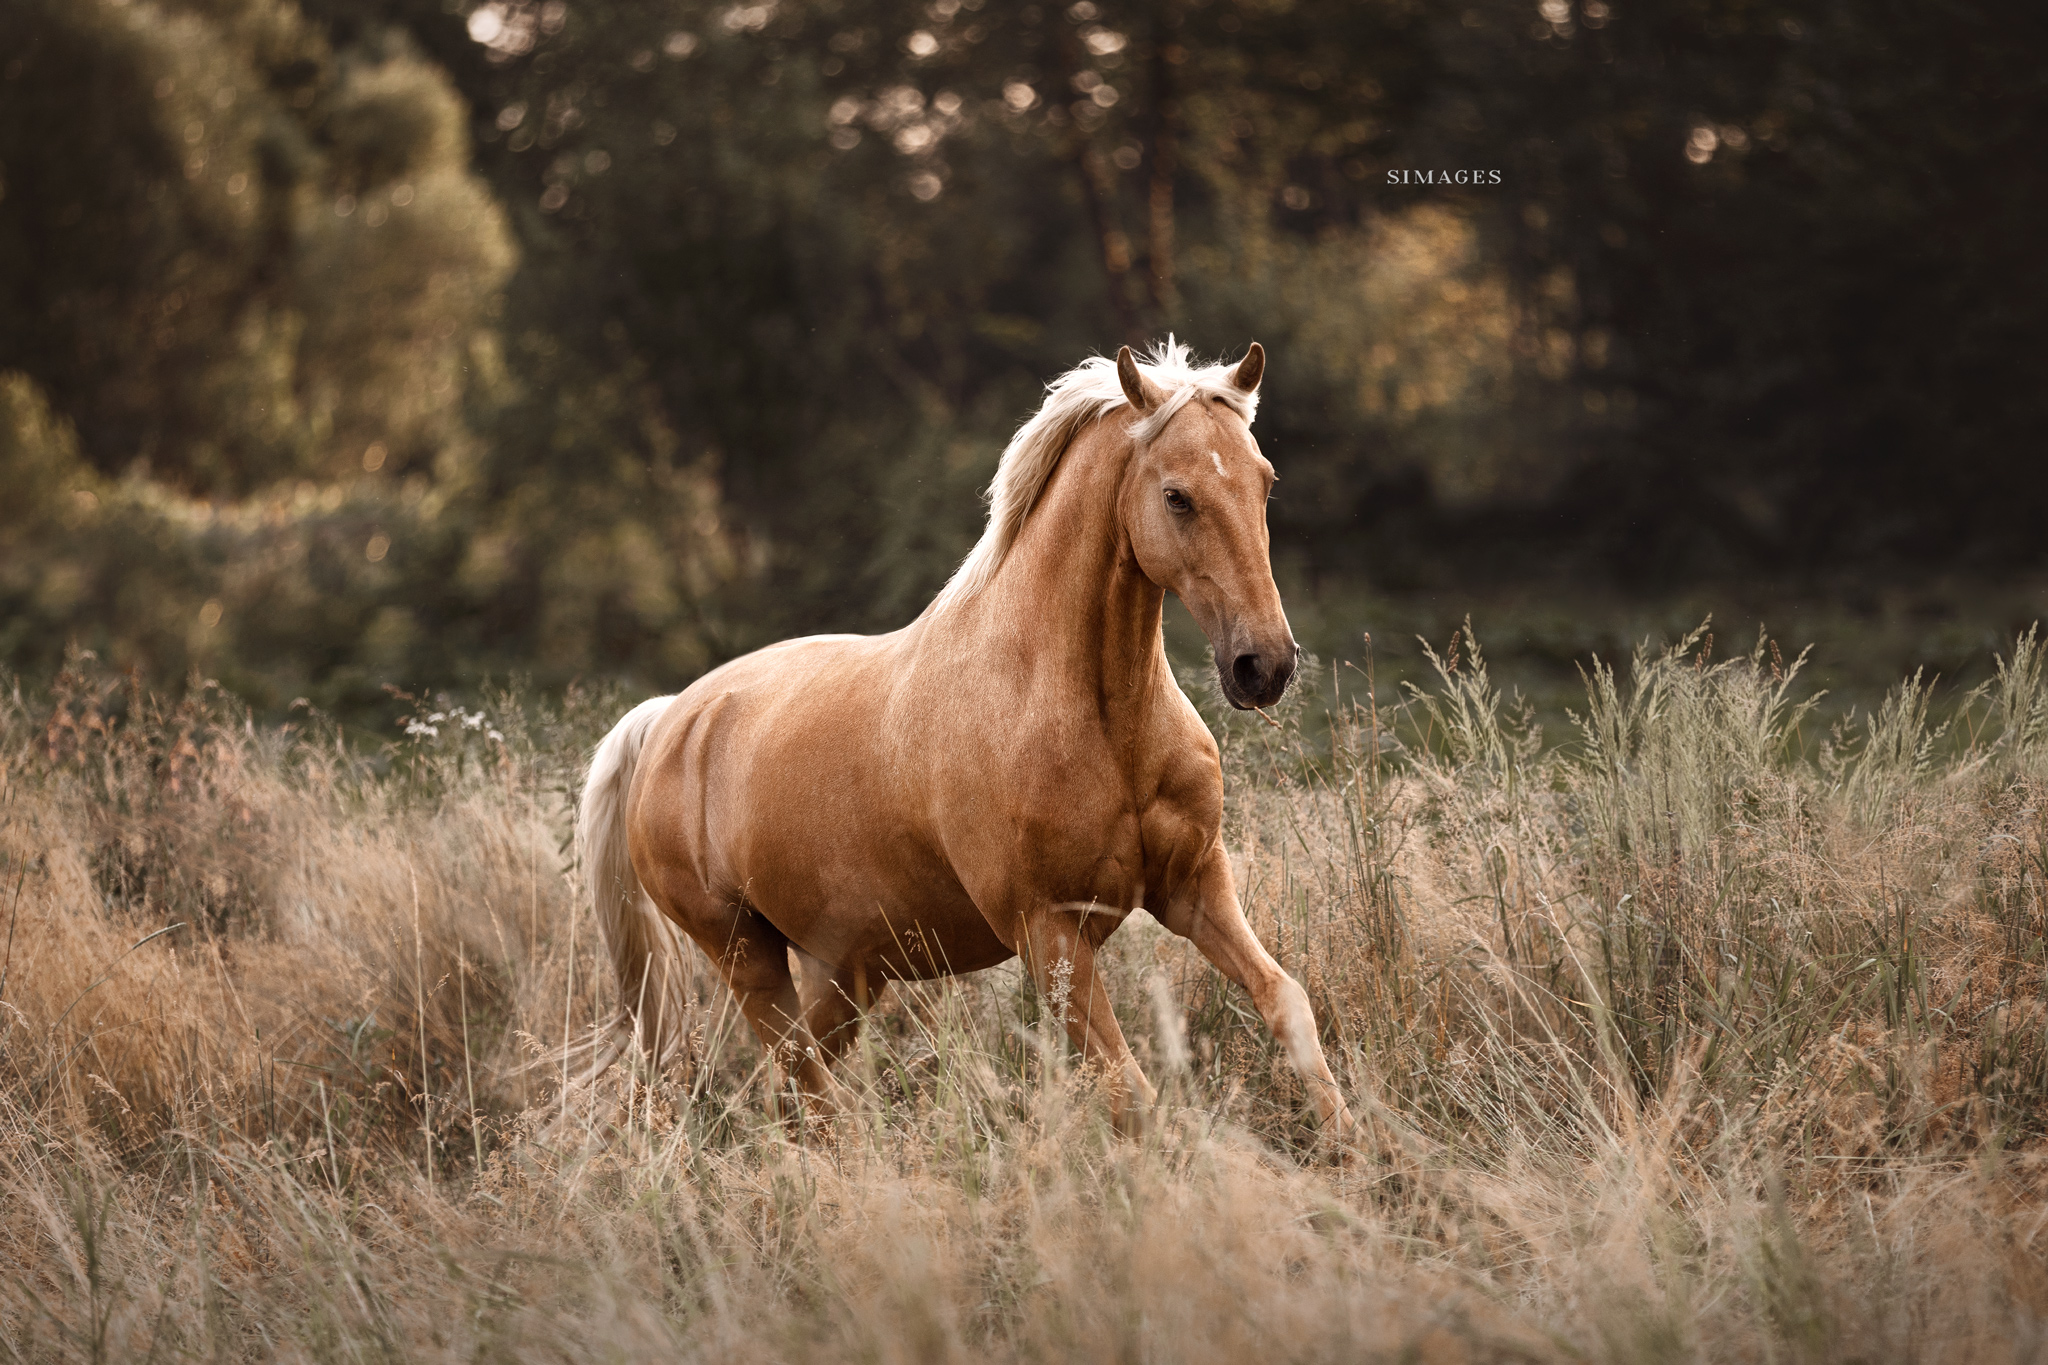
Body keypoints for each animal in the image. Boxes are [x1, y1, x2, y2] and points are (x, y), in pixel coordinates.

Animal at [576, 339, 1359, 1144]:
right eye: (1176, 496)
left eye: (1265, 481)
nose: (1265, 665)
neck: (1096, 719)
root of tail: (671, 720)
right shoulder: (1050, 934)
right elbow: (1132, 1093)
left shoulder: (1195, 884)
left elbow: (1286, 1002)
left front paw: (1359, 1147)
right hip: (746, 956)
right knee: (810, 1095)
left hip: (849, 971)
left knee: (787, 1093)